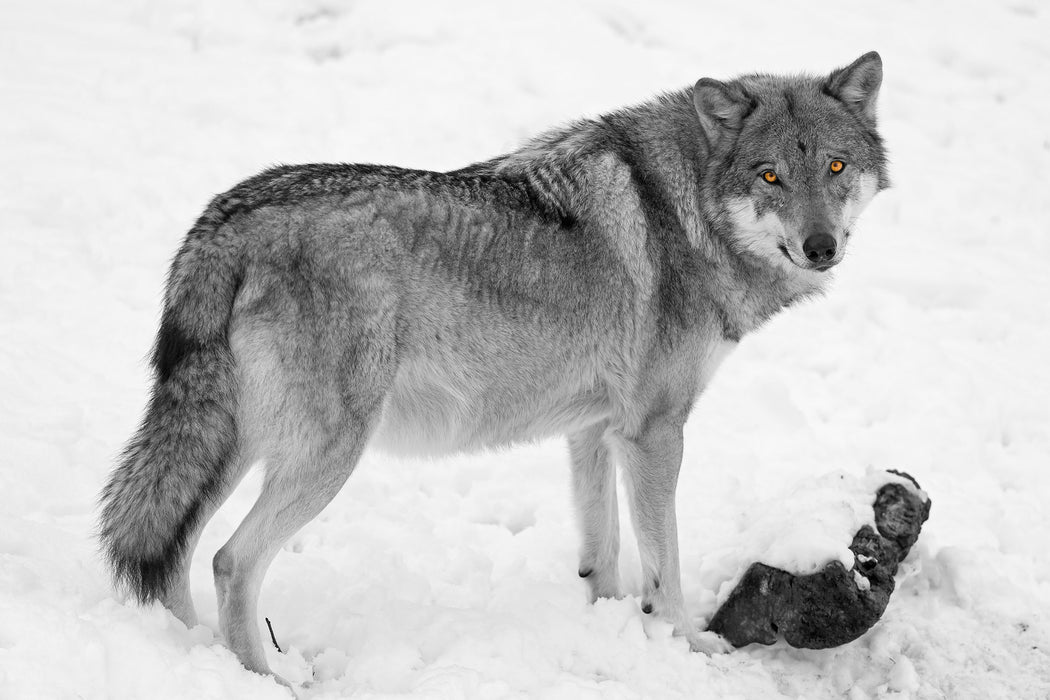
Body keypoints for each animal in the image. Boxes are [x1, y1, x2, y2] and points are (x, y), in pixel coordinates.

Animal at [96, 50, 886, 680]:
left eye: (836, 168)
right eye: (770, 176)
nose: (821, 246)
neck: (684, 205)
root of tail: (225, 218)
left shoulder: (594, 430)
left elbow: (603, 553)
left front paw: (611, 634)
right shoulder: (654, 434)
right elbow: (666, 567)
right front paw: (684, 650)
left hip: (236, 446)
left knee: (176, 555)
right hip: (324, 454)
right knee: (230, 562)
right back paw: (273, 679)